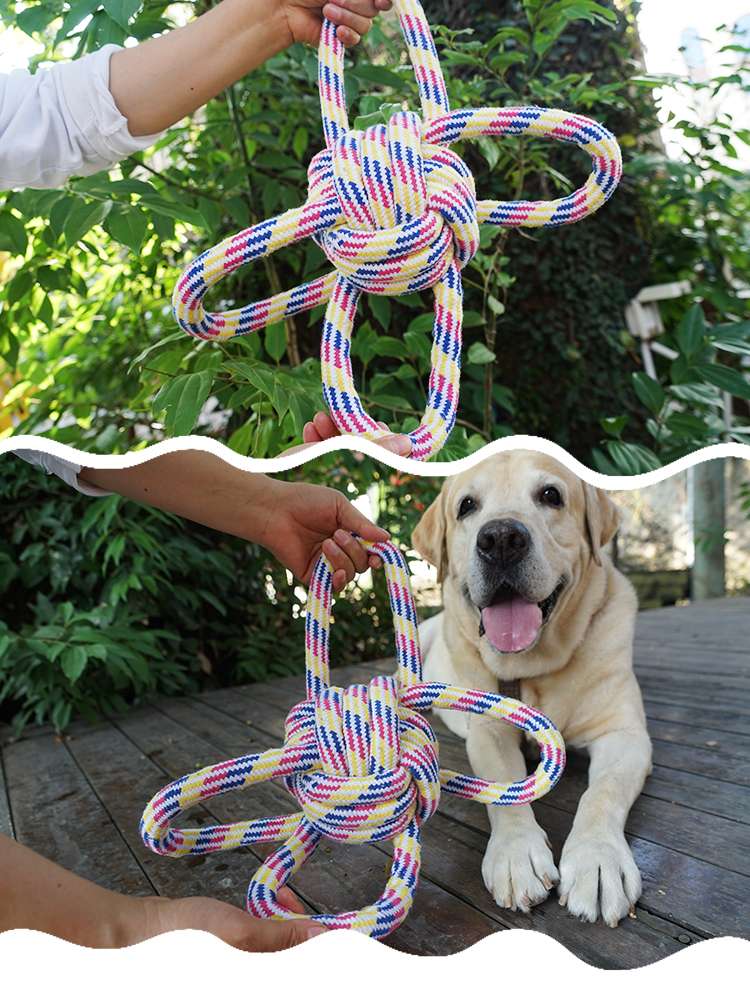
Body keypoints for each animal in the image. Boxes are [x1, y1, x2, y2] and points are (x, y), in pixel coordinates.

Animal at [414, 454, 656, 928]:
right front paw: (516, 854)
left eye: (551, 495)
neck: (533, 668)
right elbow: (504, 790)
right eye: (467, 506)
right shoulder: (490, 732)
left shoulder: (624, 736)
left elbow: (602, 792)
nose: (501, 539)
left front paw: (597, 861)